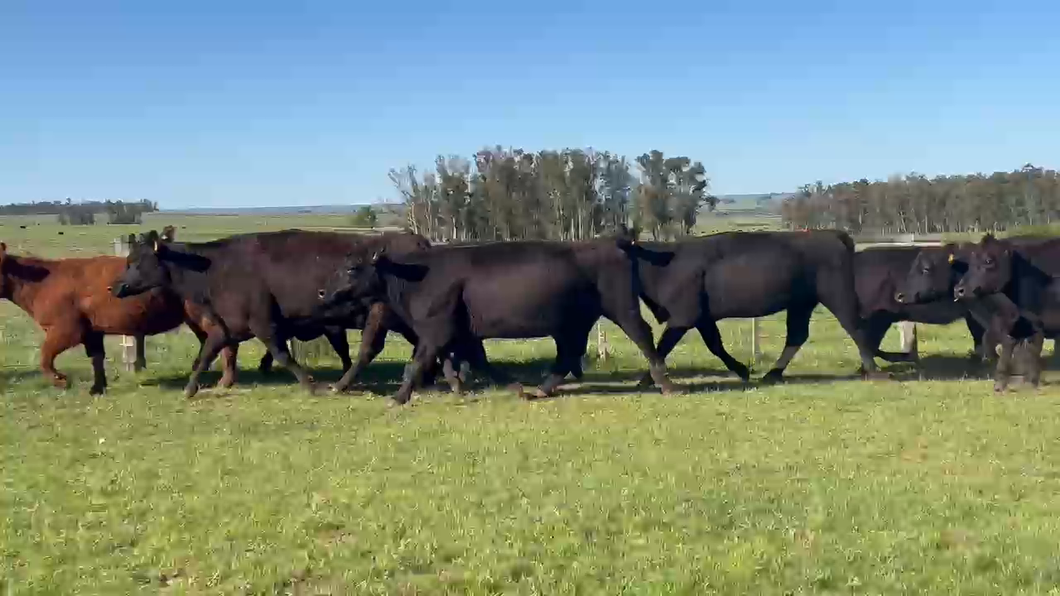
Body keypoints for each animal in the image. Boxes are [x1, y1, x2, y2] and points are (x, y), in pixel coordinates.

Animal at [0, 238, 234, 392]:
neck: (40, 282)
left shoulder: (66, 330)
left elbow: (45, 358)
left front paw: (61, 381)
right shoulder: (91, 331)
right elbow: (96, 357)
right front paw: (97, 388)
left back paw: (223, 382)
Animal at [110, 230, 447, 396]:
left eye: (135, 261)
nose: (115, 287)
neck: (214, 268)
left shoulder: (263, 322)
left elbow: (282, 354)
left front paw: (309, 385)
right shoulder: (227, 326)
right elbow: (206, 354)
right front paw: (191, 388)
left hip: (380, 314)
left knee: (369, 350)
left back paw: (343, 384)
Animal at [317, 234, 674, 400]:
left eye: (352, 268)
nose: (322, 292)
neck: (417, 275)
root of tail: (610, 241)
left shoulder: (435, 329)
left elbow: (416, 363)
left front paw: (399, 397)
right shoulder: (464, 333)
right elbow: (480, 362)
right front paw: (516, 387)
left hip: (621, 307)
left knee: (643, 335)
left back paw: (666, 383)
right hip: (574, 321)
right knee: (568, 353)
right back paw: (542, 389)